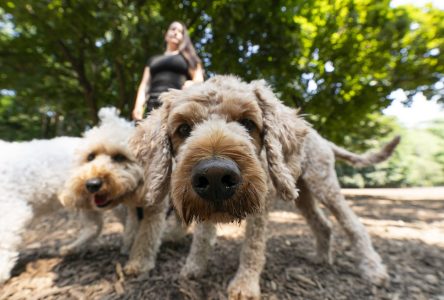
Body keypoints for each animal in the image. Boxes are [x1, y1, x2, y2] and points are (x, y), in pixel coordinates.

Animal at [134, 75, 400, 300]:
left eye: (248, 123)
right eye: (183, 129)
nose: (215, 175)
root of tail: (319, 137)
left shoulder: (260, 211)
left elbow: (252, 248)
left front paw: (244, 286)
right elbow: (201, 238)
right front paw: (193, 268)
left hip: (324, 184)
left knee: (354, 226)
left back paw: (373, 270)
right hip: (300, 193)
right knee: (323, 225)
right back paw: (321, 258)